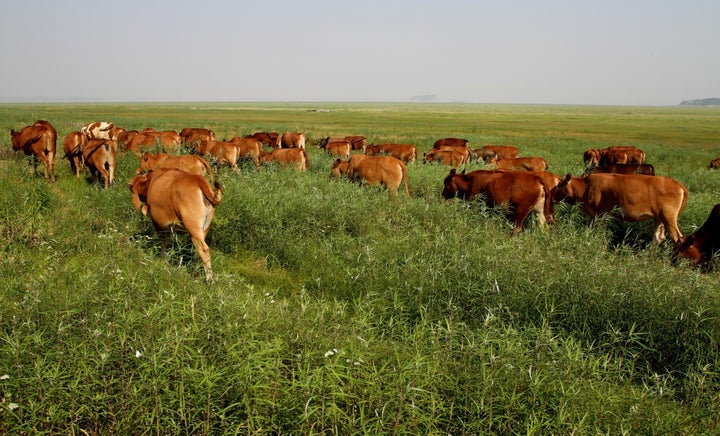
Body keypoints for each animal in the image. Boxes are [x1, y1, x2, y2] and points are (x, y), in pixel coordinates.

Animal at [556, 172, 688, 244]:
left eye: (558, 185)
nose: (552, 196)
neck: (586, 186)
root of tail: (679, 185)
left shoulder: (601, 214)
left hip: (669, 218)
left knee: (678, 238)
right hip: (659, 218)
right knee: (658, 238)